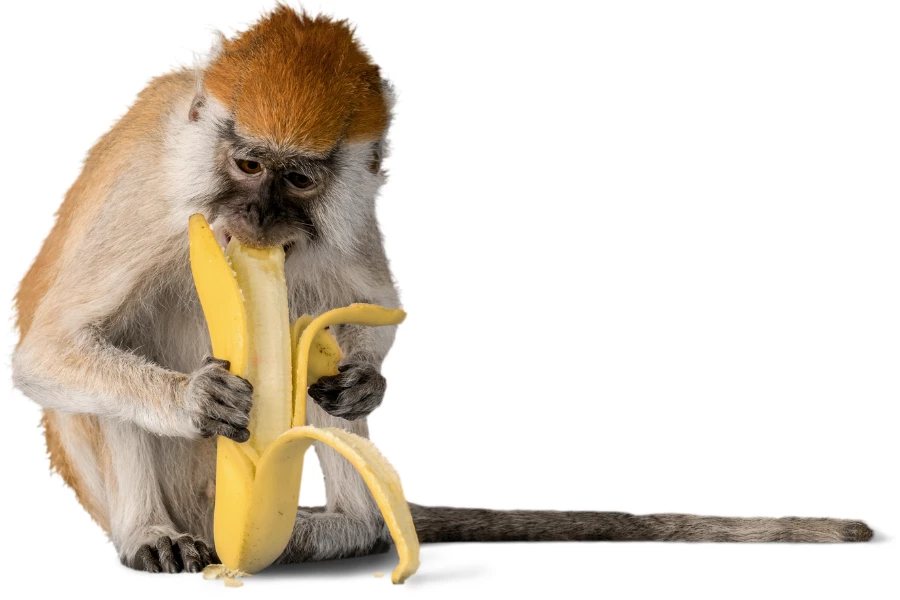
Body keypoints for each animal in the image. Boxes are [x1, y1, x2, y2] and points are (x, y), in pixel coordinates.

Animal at [11, 7, 872, 575]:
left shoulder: (351, 202)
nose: (256, 216)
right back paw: (156, 531)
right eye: (247, 165)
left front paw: (366, 379)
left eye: (298, 179)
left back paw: (342, 529)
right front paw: (195, 399)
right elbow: (50, 351)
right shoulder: (154, 200)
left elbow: (369, 303)